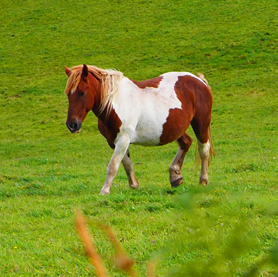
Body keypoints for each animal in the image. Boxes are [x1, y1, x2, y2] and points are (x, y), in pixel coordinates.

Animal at [64, 64, 214, 194]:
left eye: (82, 93)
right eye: (68, 94)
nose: (72, 125)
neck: (115, 102)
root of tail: (199, 80)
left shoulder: (123, 140)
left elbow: (113, 166)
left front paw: (105, 191)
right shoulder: (114, 141)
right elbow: (127, 164)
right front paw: (134, 185)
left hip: (201, 125)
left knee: (204, 150)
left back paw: (203, 181)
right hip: (176, 128)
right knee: (186, 142)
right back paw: (175, 176)